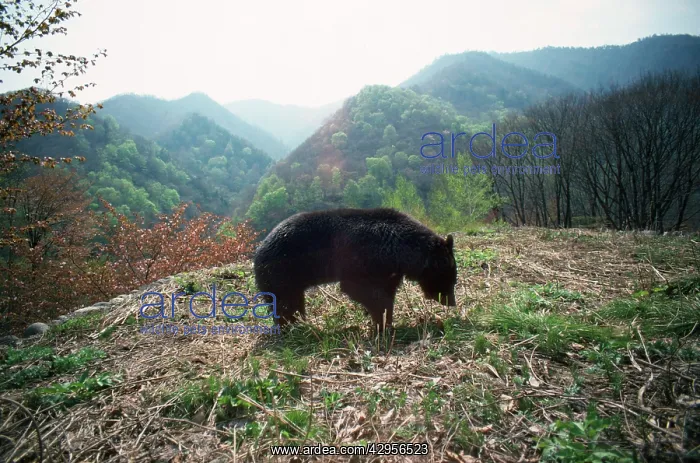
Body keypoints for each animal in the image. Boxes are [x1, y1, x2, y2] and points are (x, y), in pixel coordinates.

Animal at [253, 208, 458, 334]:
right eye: (449, 278)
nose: (452, 302)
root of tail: (259, 251)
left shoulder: (390, 271)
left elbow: (387, 293)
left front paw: (387, 323)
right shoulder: (365, 263)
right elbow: (362, 291)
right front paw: (380, 324)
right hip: (282, 274)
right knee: (285, 304)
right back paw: (292, 327)